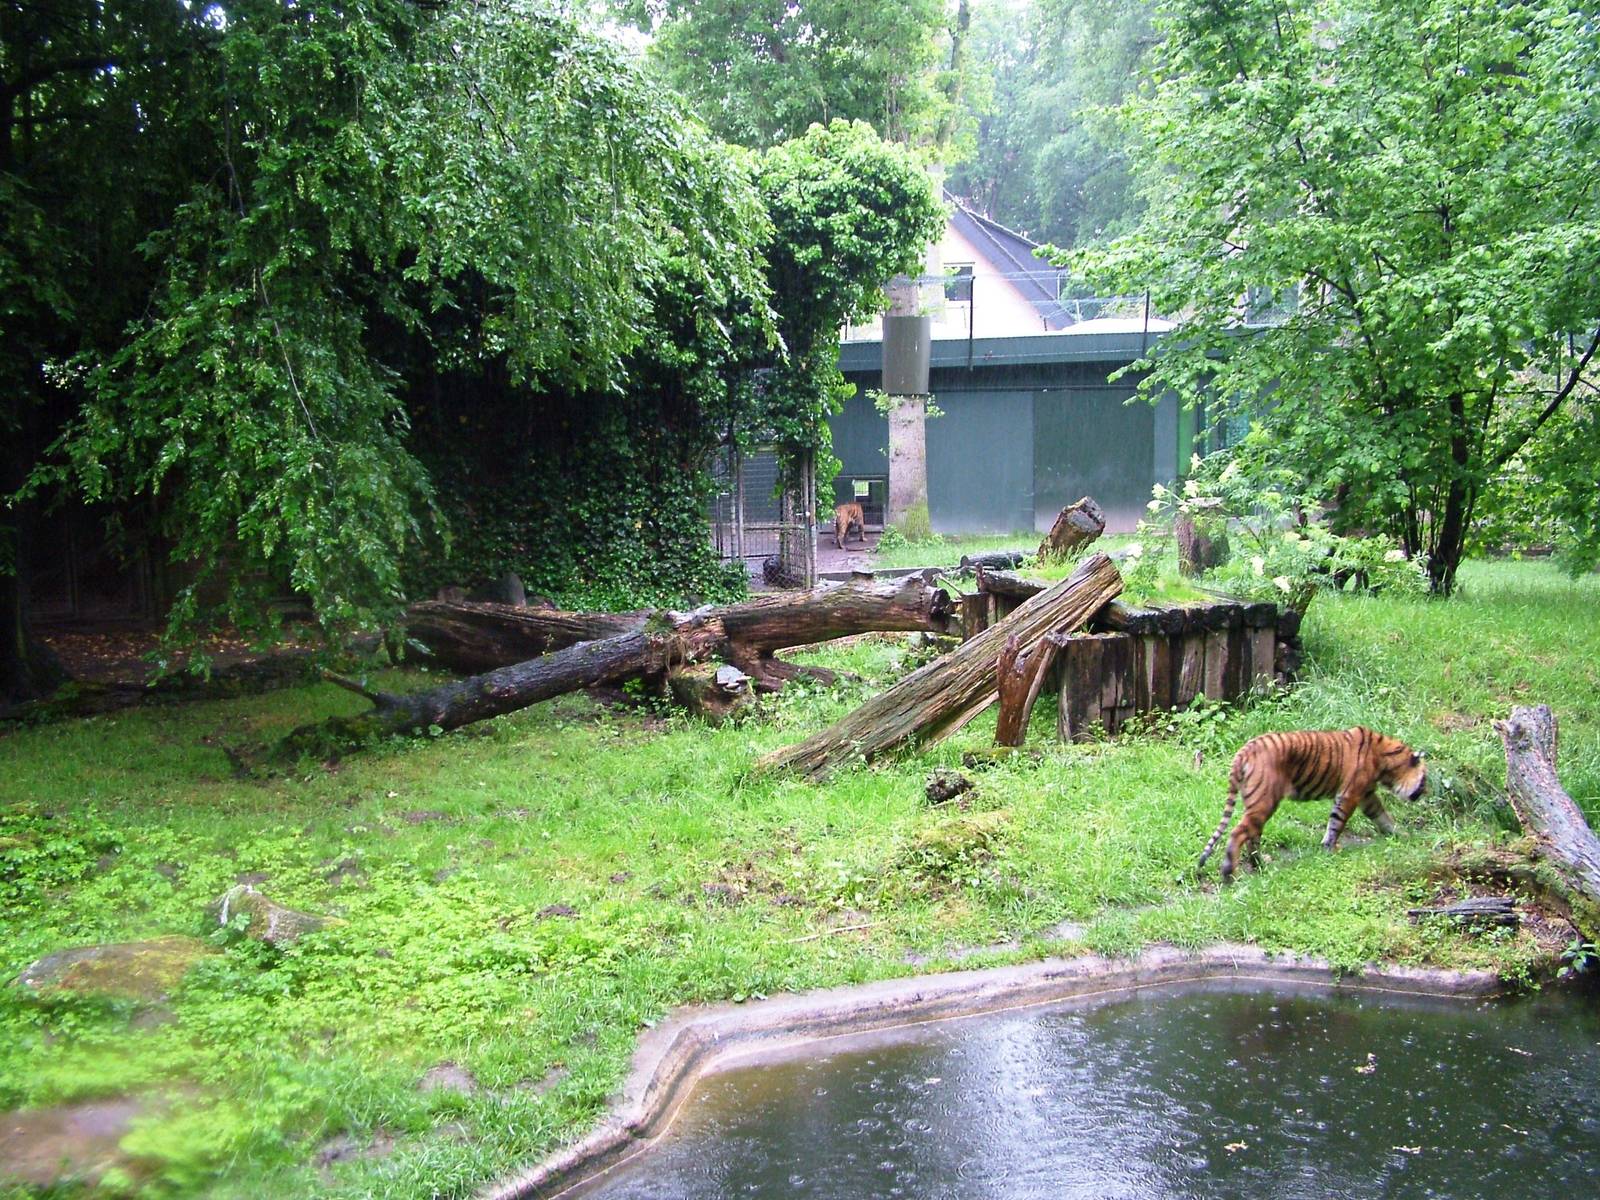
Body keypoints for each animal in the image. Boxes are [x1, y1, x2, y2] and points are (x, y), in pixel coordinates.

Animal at [1196, 727, 1427, 883]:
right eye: (1424, 779)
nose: (1426, 792)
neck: (1384, 759)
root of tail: (1244, 751)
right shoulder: (1351, 794)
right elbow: (1337, 822)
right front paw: (1330, 847)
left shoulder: (1367, 795)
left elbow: (1382, 816)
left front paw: (1400, 834)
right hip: (1264, 801)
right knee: (1238, 833)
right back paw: (1229, 874)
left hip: (1256, 805)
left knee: (1252, 835)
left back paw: (1260, 865)